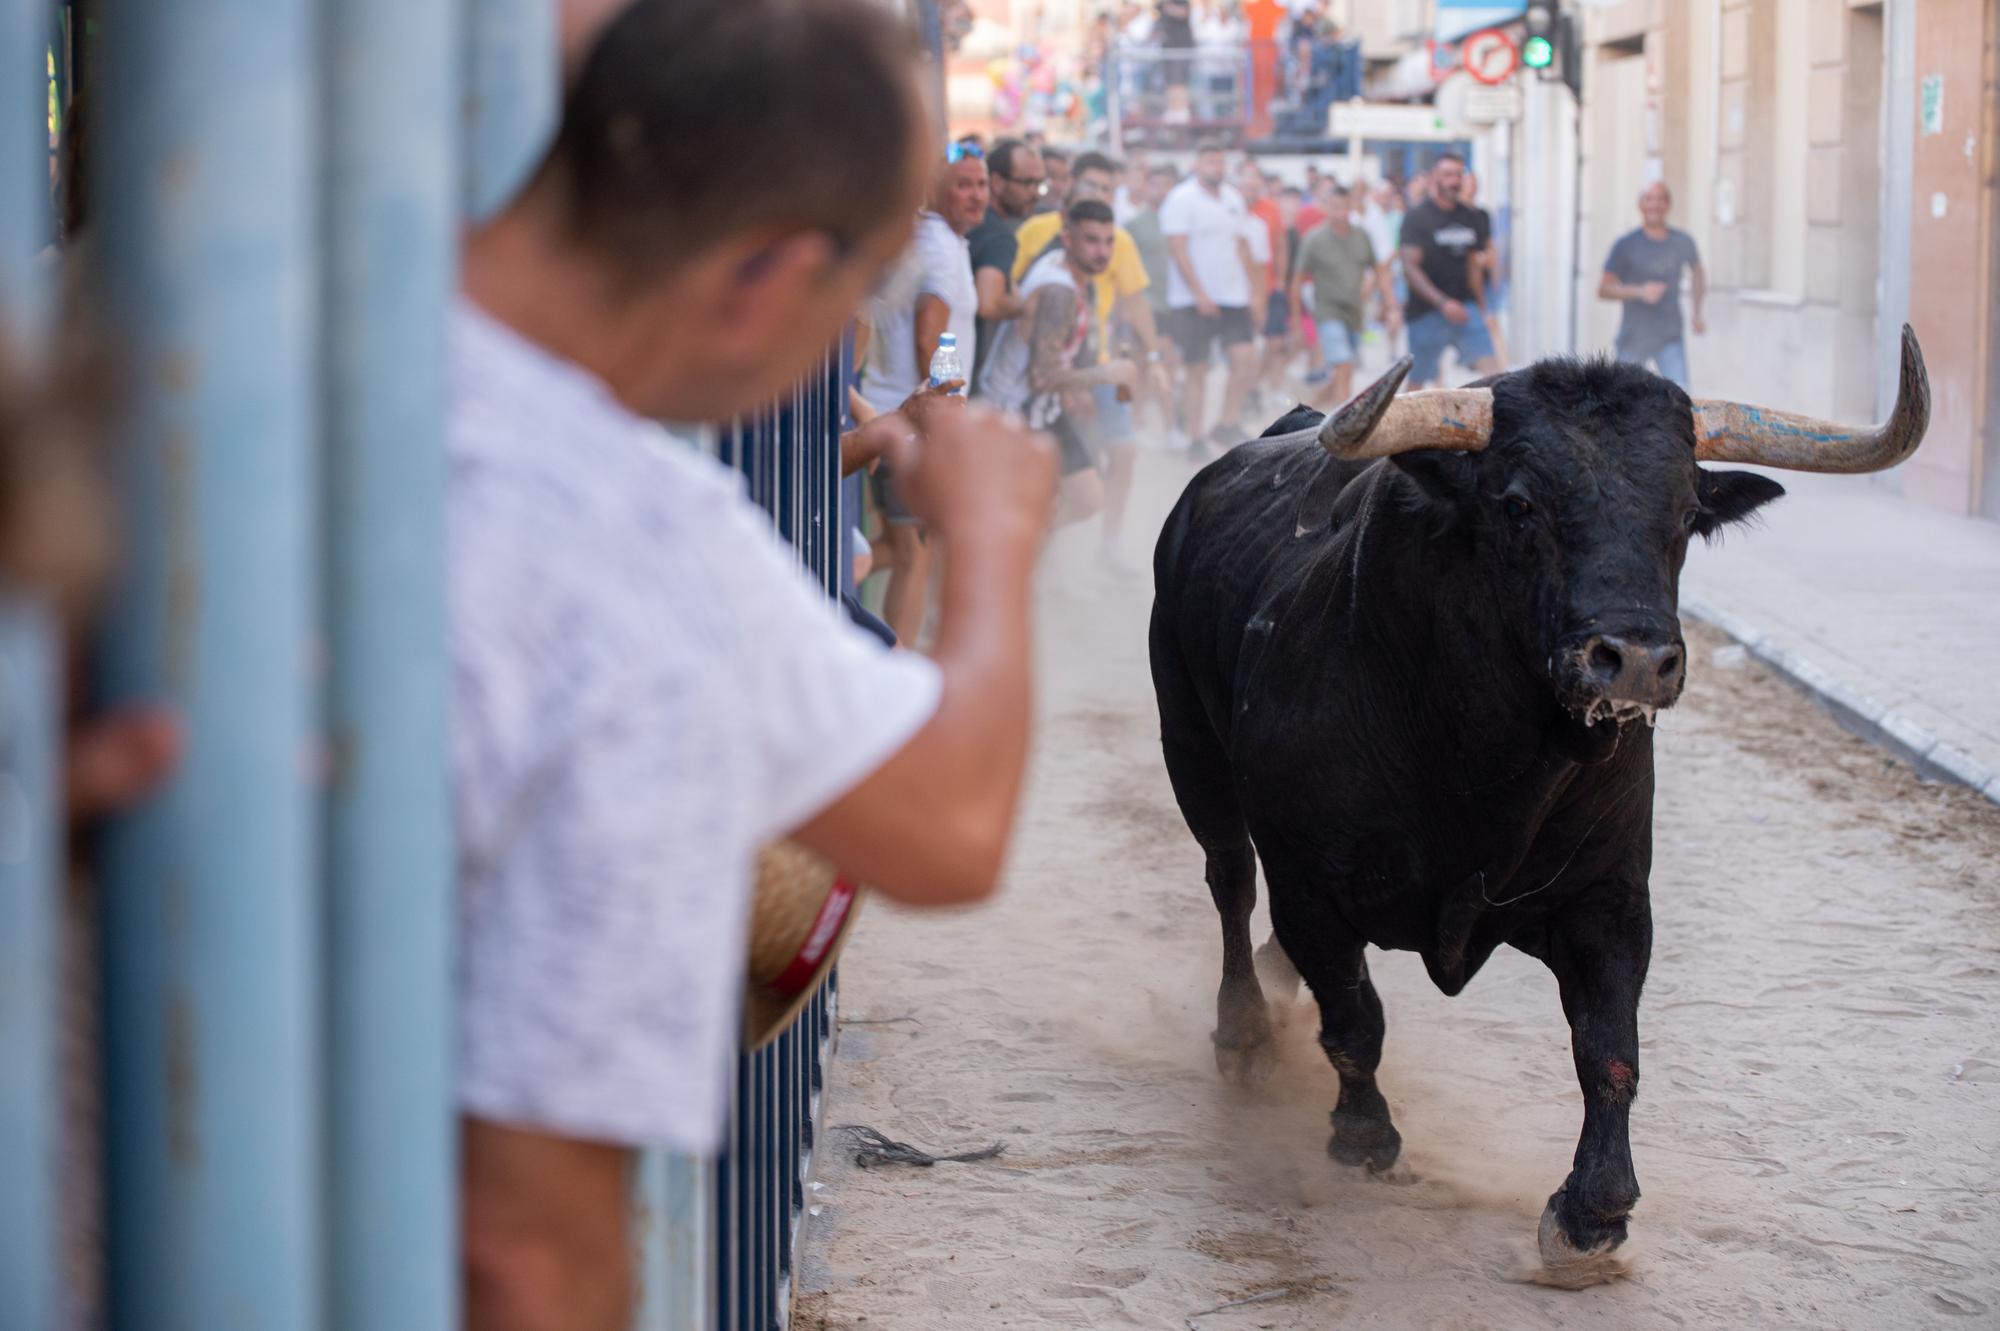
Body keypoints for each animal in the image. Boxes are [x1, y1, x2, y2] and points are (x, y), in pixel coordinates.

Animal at [1152, 339, 1928, 1263]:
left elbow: (1608, 1047)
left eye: (1686, 512)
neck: (1479, 760)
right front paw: (1364, 1136)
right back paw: (1244, 1031)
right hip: (1189, 745)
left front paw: (1593, 1210)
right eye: (1520, 503)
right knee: (1230, 883)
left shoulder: (1610, 899)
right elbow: (1355, 1017)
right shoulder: (1310, 886)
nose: (1635, 659)